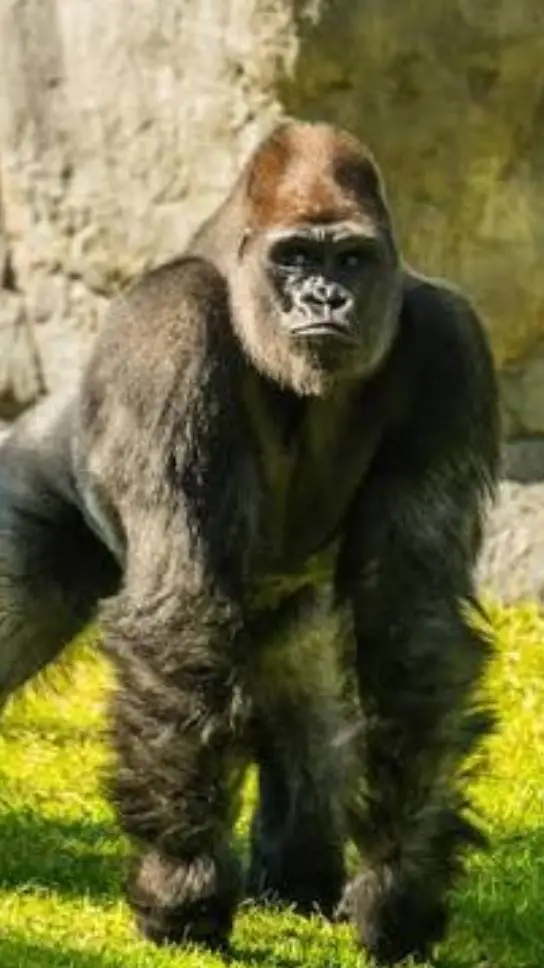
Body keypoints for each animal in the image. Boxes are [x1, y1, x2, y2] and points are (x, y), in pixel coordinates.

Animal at [0, 120, 500, 965]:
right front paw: (183, 886)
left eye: (350, 260)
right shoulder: (164, 337)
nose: (325, 298)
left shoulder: (451, 348)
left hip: (293, 616)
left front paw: (398, 888)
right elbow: (179, 610)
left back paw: (297, 882)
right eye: (294, 257)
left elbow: (412, 631)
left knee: (311, 712)